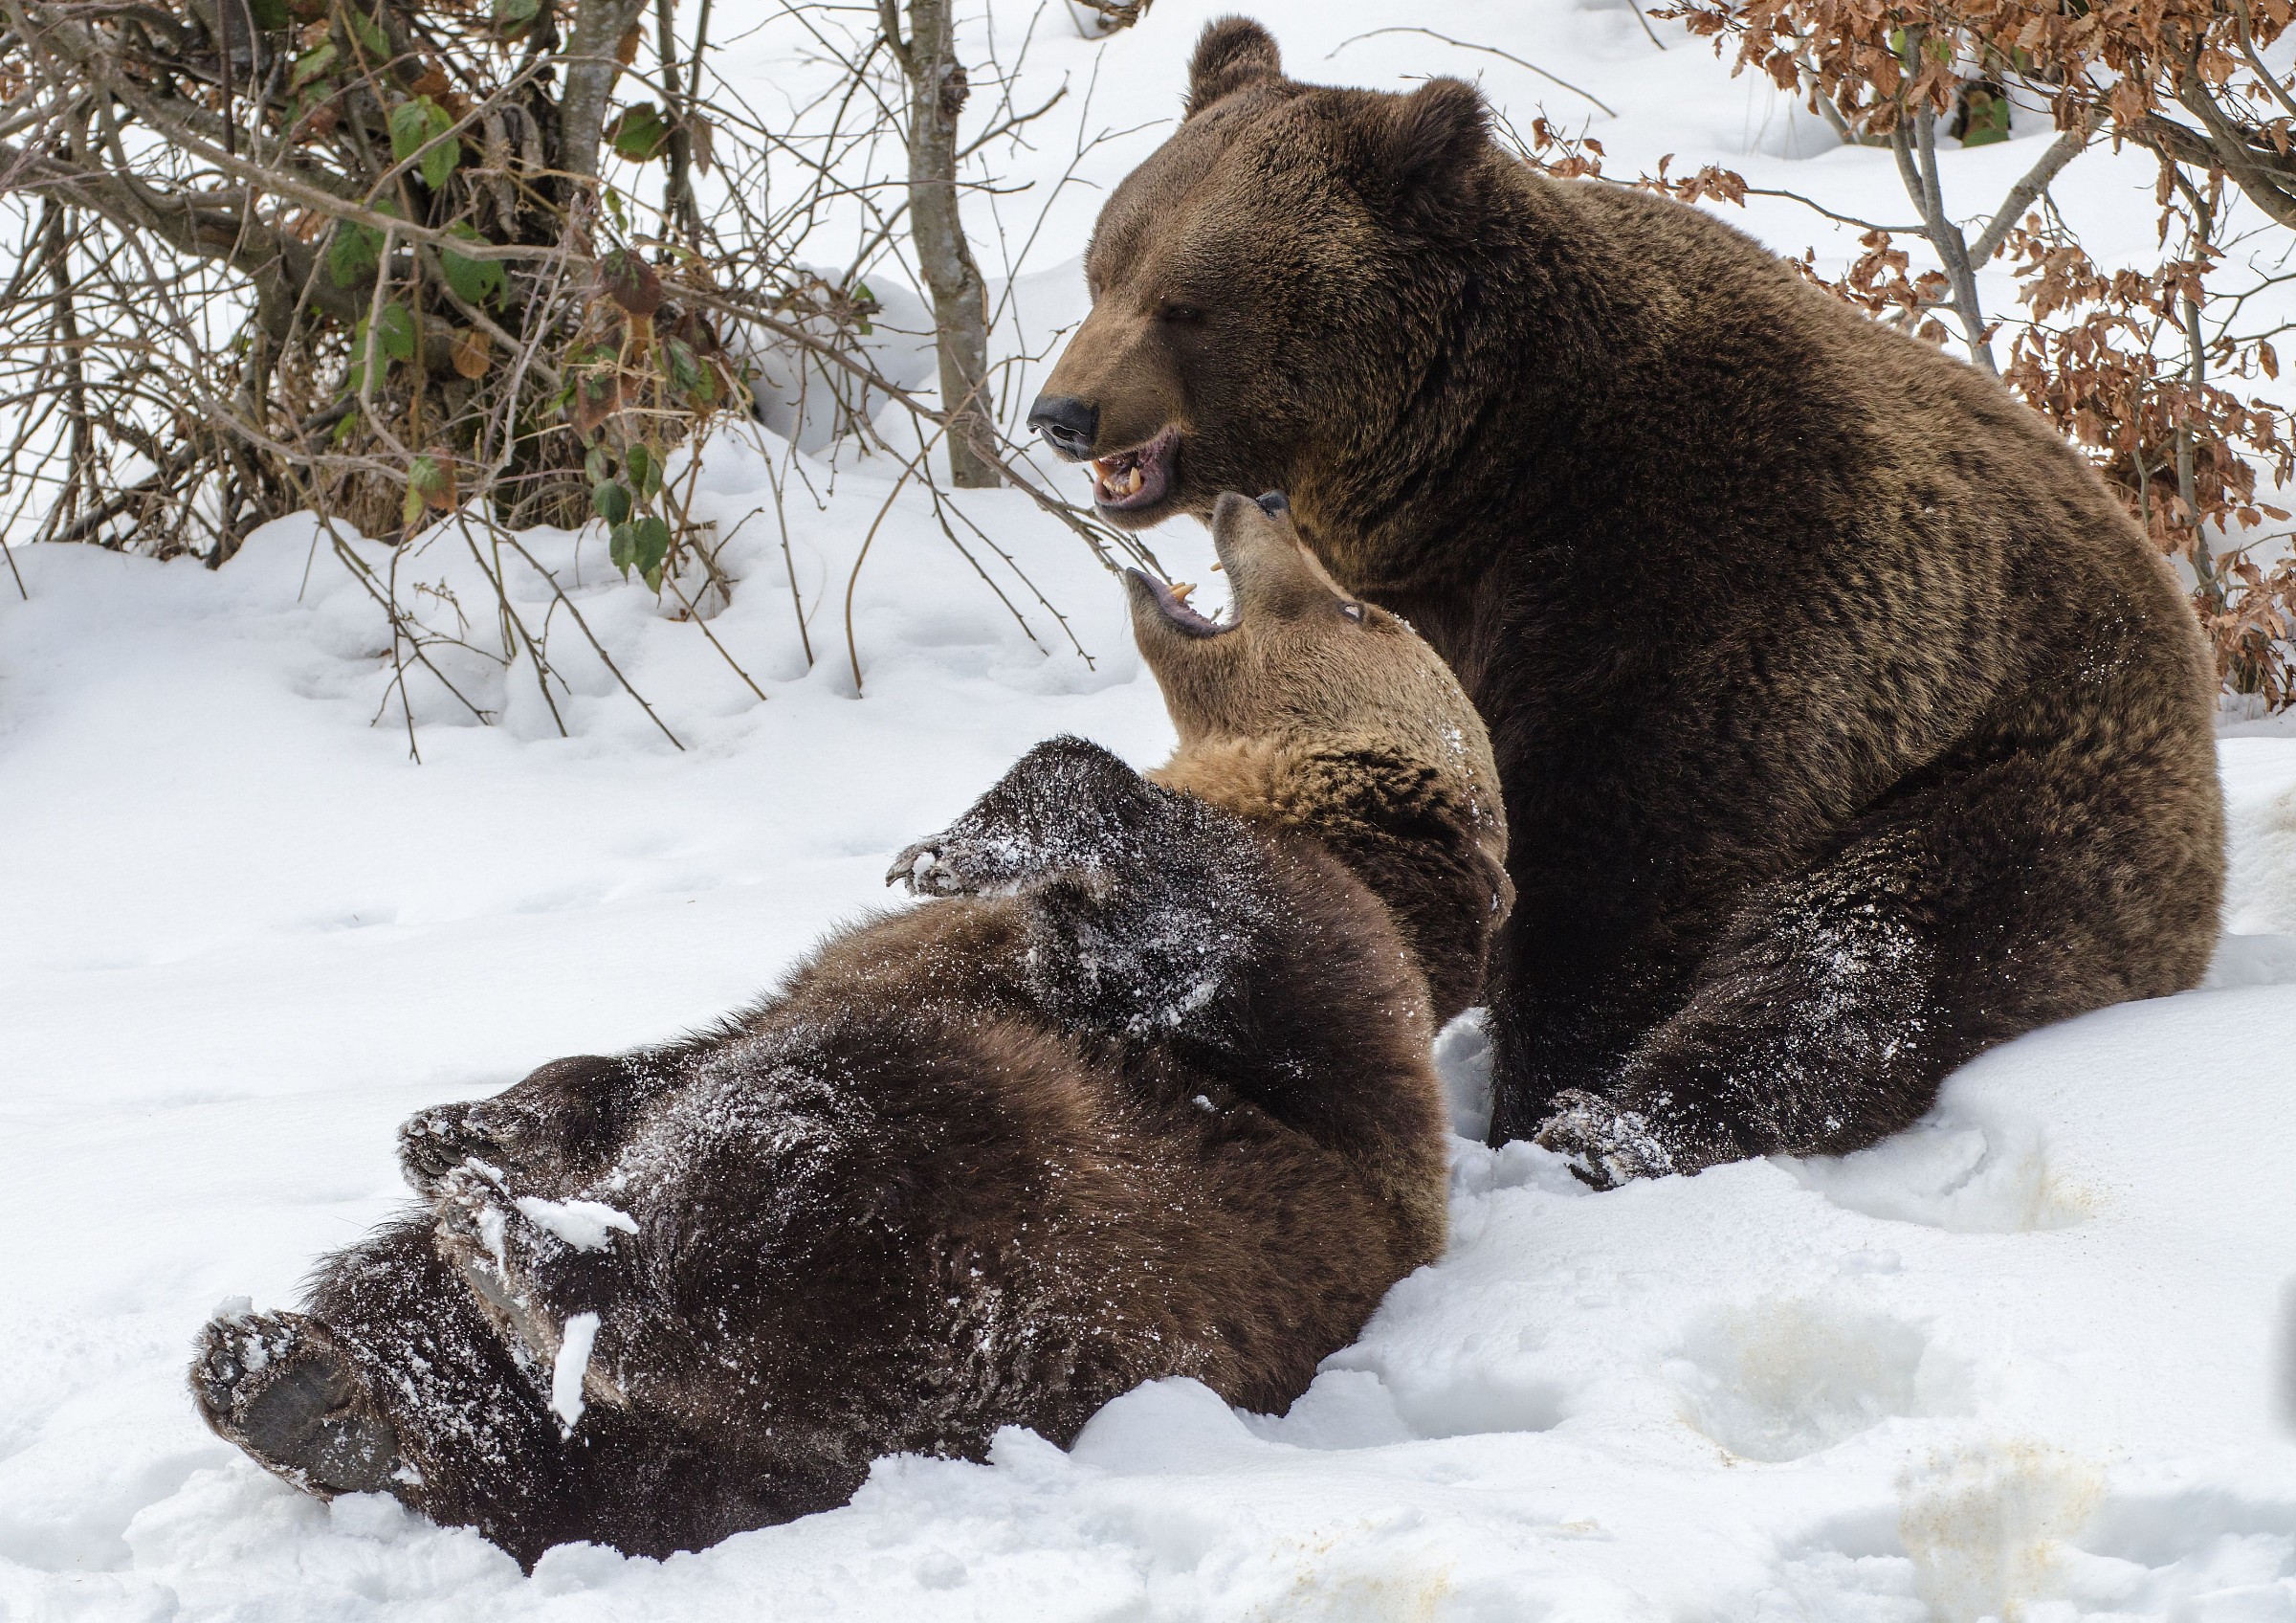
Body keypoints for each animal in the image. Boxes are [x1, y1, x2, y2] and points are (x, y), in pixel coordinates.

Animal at [186, 490, 1512, 1567]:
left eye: (1356, 607)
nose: (1259, 498)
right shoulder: (834, 976)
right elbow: (651, 1059)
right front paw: (458, 1117)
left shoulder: (1304, 980)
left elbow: (1178, 915)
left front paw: (956, 838)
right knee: (427, 1317)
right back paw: (300, 1385)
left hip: (1028, 1231)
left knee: (793, 1161)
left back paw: (518, 1257)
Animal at [1027, 17, 2226, 1185]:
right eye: (1102, 268)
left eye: (1188, 304)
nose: (1064, 412)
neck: (1475, 478)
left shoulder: (1691, 583)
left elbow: (1619, 864)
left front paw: (1539, 1094)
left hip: (2024, 778)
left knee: (1872, 947)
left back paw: (1626, 1128)